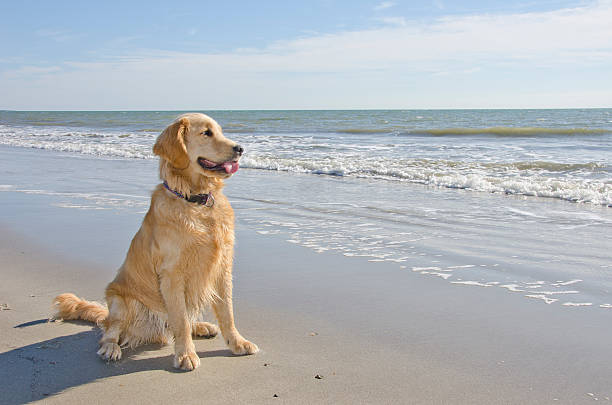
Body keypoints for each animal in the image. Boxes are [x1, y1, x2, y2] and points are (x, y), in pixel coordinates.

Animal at [53, 111, 260, 370]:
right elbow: (180, 321)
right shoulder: (172, 274)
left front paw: (237, 343)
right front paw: (185, 355)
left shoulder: (222, 267)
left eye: (221, 131)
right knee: (110, 331)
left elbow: (227, 313)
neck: (195, 200)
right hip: (119, 301)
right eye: (206, 133)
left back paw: (201, 326)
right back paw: (111, 348)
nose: (240, 148)